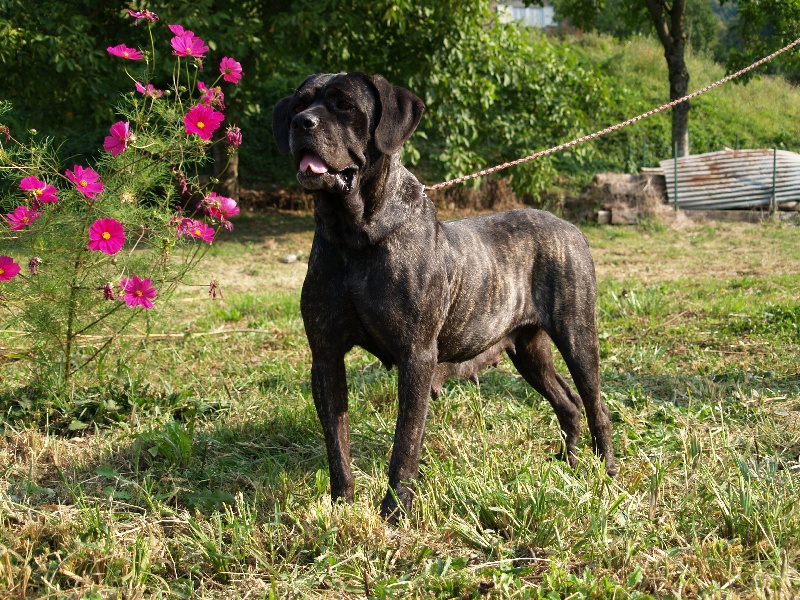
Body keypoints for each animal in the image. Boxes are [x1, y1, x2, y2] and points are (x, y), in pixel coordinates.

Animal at [272, 72, 616, 524]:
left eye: (345, 105)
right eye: (299, 104)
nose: (301, 124)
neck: (354, 235)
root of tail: (572, 228)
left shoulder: (416, 356)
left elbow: (405, 444)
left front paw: (394, 513)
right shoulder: (326, 356)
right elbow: (337, 444)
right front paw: (341, 506)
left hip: (577, 336)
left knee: (595, 404)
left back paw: (607, 470)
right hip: (529, 351)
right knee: (569, 403)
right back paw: (571, 463)